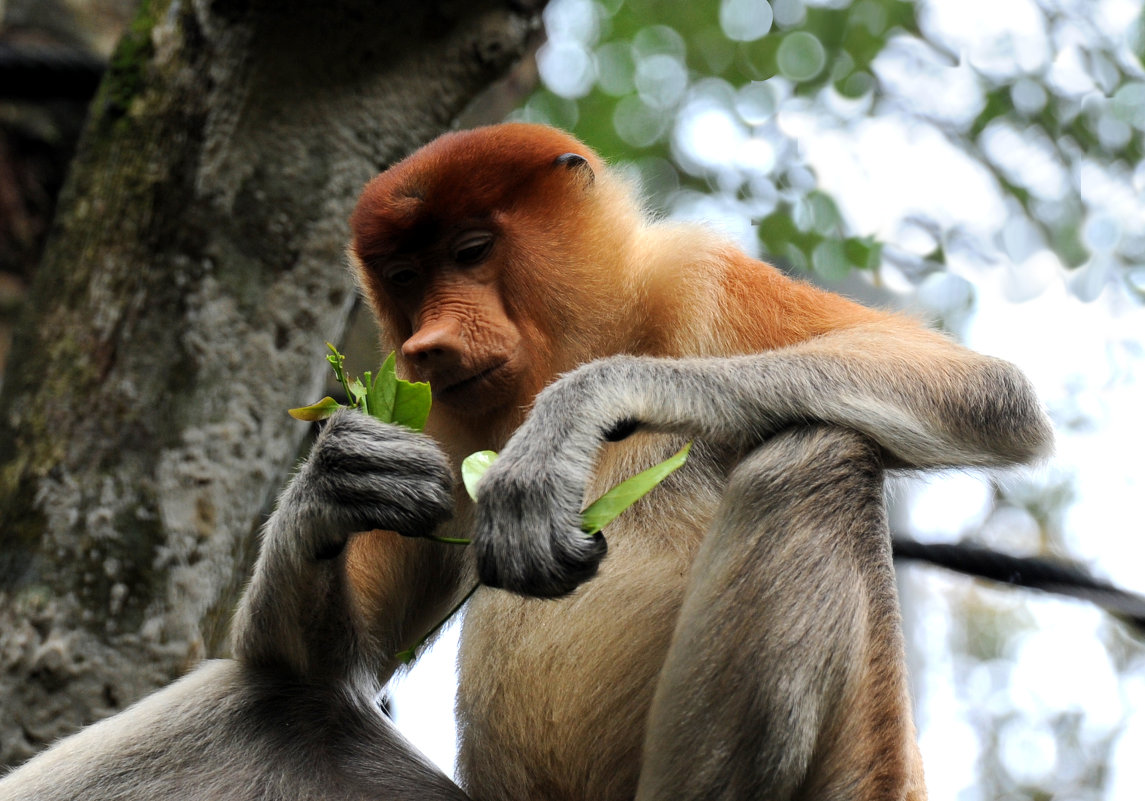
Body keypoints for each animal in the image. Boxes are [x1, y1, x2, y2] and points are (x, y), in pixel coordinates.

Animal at [0, 120, 1048, 801]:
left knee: (815, 452)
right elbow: (311, 655)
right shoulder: (439, 414)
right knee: (271, 698)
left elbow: (985, 391)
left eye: (471, 249)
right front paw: (341, 481)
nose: (427, 342)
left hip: (864, 773)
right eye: (406, 274)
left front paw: (571, 417)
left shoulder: (696, 276)